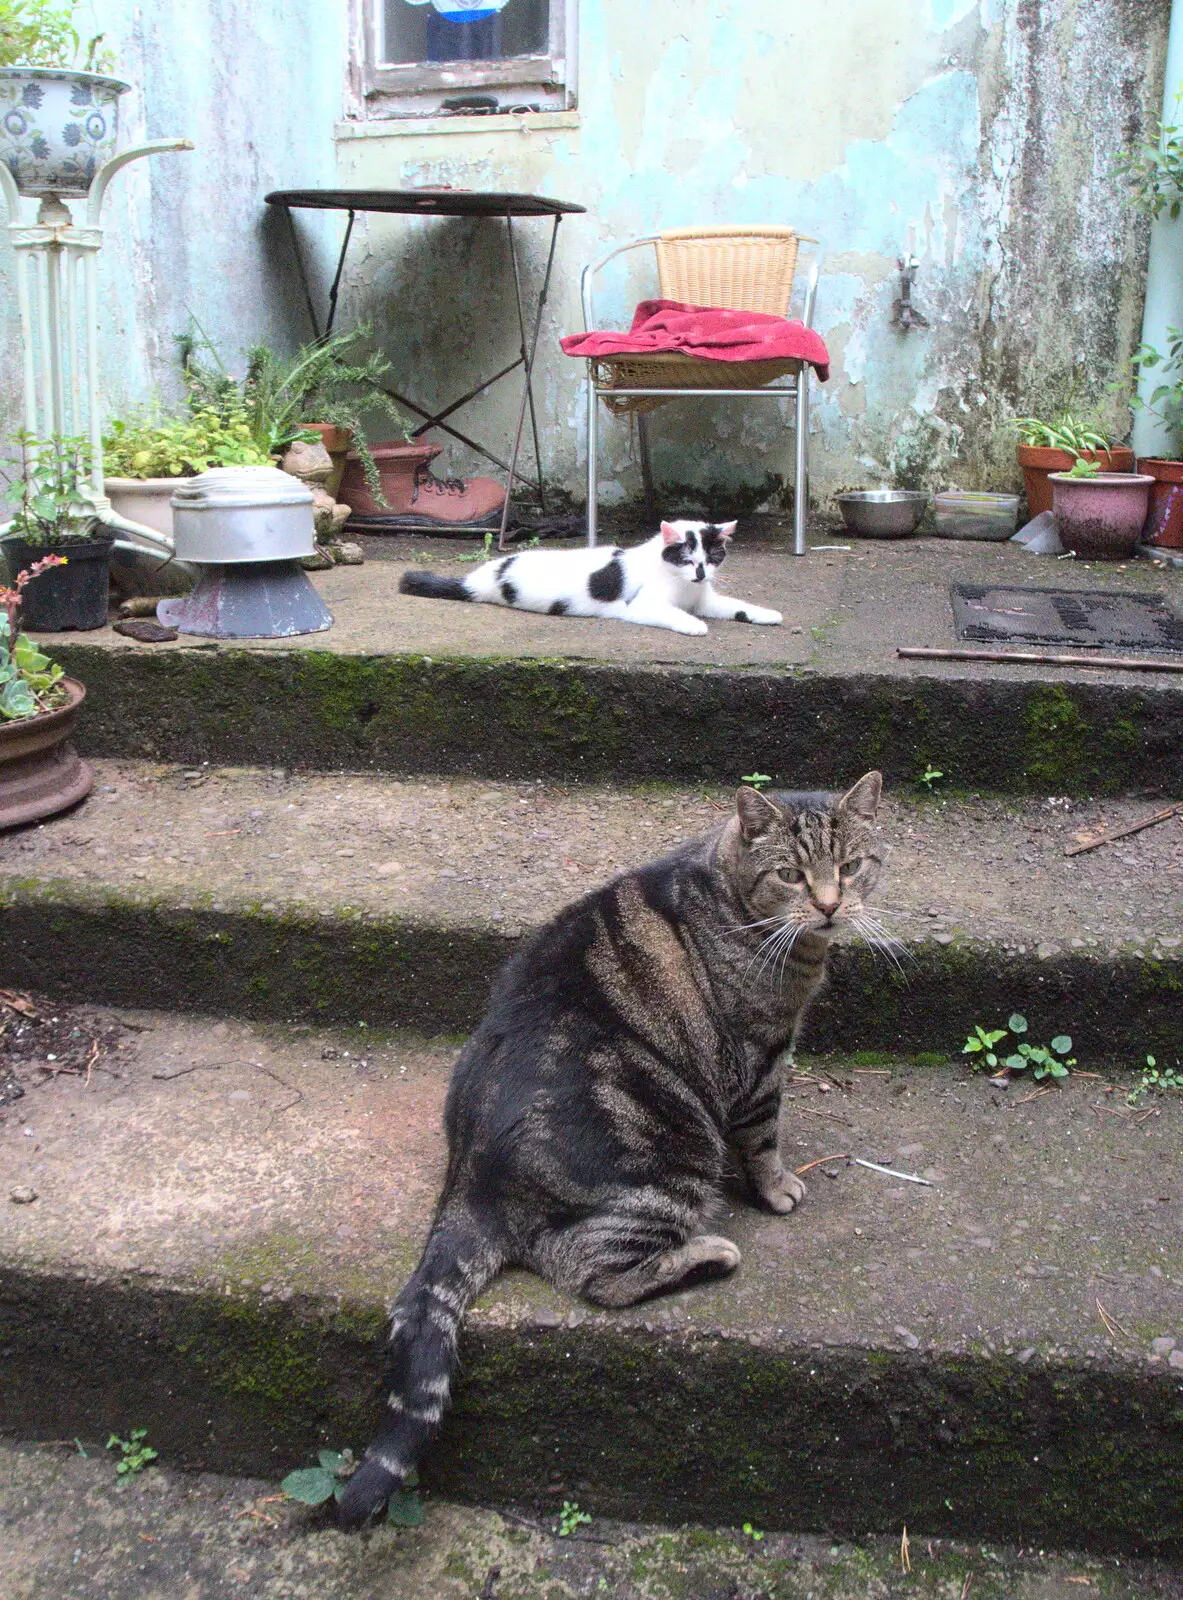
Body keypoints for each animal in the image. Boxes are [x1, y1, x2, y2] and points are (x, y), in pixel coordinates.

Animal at [337, 771, 883, 1523]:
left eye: (851, 867)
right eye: (790, 875)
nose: (830, 906)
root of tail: (466, 1176)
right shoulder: (761, 1061)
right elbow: (764, 1137)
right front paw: (777, 1189)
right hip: (673, 1160)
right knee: (593, 1274)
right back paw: (709, 1254)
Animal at [400, 515, 787, 633]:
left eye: (713, 557)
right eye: (687, 559)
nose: (701, 574)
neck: (684, 588)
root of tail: (479, 578)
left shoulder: (705, 598)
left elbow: (735, 605)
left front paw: (766, 614)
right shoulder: (640, 605)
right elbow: (673, 614)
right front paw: (693, 624)